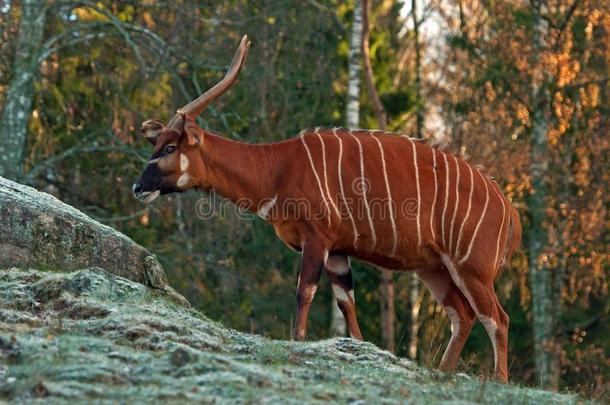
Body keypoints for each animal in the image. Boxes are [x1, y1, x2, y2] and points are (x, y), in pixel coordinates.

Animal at [132, 35, 516, 382]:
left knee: (496, 317)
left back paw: (498, 381)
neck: (278, 168)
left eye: (170, 148)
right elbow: (347, 304)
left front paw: (297, 343)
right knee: (463, 315)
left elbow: (305, 292)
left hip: (471, 266)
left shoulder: (317, 238)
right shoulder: (339, 252)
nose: (138, 187)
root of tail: (506, 204)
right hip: (433, 268)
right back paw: (442, 373)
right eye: (158, 144)